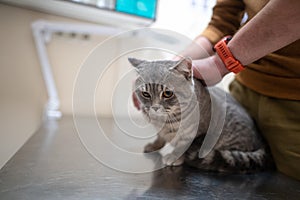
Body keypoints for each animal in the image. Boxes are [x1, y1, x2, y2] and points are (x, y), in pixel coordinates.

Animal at [127, 57, 274, 173]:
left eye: (167, 93)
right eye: (145, 94)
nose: (155, 107)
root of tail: (261, 141)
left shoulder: (194, 134)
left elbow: (182, 147)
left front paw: (175, 157)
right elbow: (160, 138)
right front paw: (153, 146)